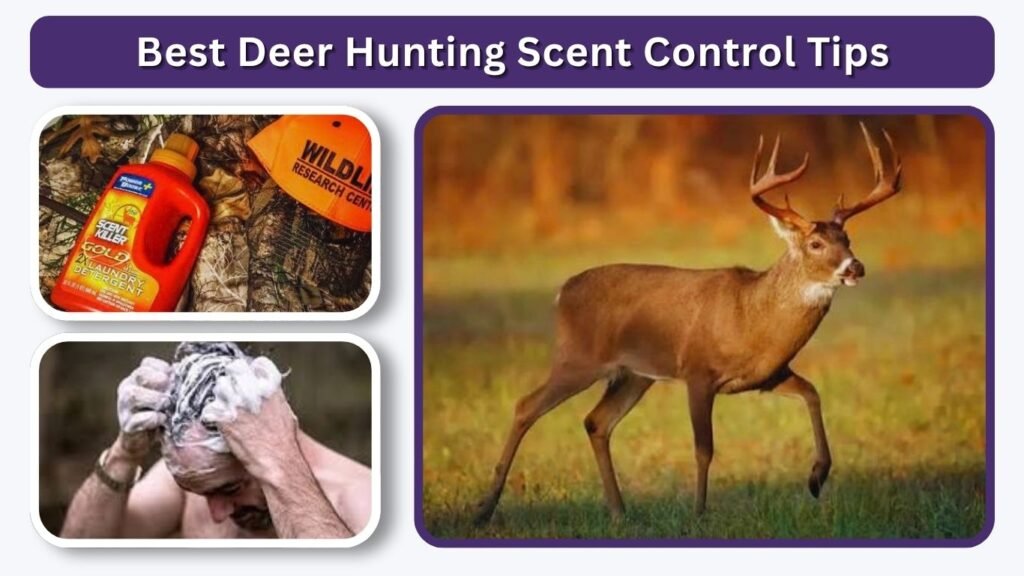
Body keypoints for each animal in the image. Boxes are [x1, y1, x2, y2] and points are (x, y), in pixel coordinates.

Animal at [473, 123, 903, 525]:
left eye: (847, 239)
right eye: (815, 244)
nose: (855, 267)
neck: (750, 317)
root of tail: (562, 292)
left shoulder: (767, 375)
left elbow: (812, 393)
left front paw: (817, 477)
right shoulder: (698, 372)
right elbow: (703, 448)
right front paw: (699, 513)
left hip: (633, 375)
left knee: (597, 422)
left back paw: (619, 511)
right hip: (578, 358)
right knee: (526, 406)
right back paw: (484, 509)